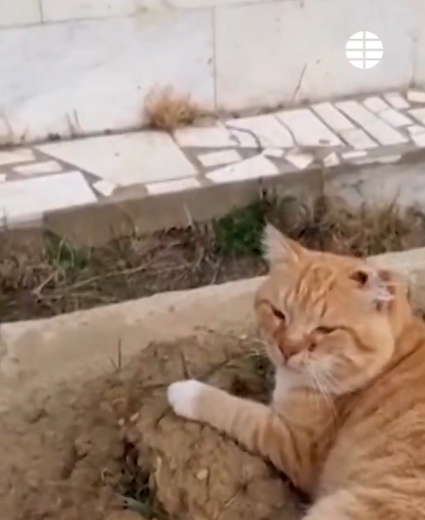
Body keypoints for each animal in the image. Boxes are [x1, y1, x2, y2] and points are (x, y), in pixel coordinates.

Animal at [167, 224, 424, 520]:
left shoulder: (292, 445)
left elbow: (240, 412)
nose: (287, 349)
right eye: (279, 314)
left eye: (324, 330)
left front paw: (188, 393)